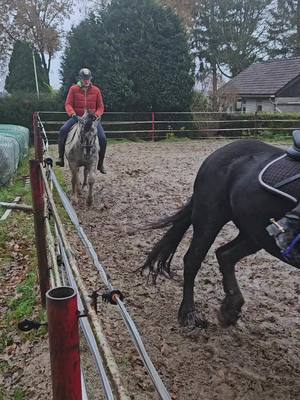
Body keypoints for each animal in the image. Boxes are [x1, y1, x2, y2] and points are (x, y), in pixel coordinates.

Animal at [142, 136, 300, 330]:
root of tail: (218, 154)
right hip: (210, 220)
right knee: (193, 260)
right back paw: (189, 314)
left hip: (255, 234)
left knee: (225, 254)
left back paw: (230, 310)